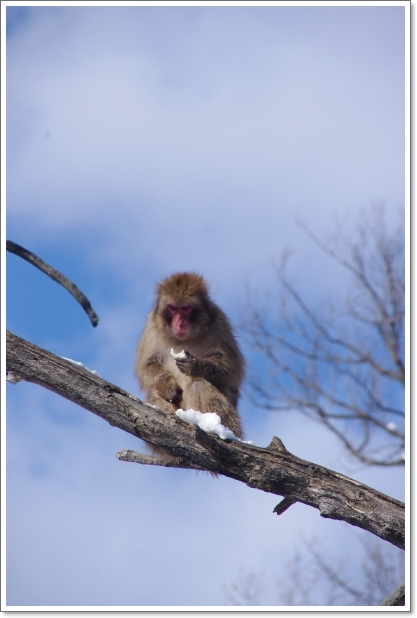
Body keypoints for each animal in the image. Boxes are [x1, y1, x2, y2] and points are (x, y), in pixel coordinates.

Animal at [136, 270, 244, 442]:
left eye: (186, 308)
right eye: (173, 308)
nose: (179, 323)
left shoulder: (219, 323)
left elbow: (233, 371)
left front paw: (195, 365)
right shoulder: (152, 328)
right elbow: (147, 366)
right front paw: (167, 385)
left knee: (199, 386)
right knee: (153, 394)